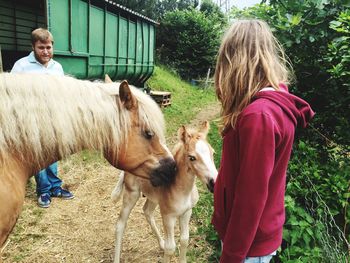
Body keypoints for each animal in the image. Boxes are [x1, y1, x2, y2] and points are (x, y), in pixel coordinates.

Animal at [111, 121, 216, 263]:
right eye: (192, 157)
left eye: (213, 153)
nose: (213, 183)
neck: (183, 190)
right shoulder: (168, 216)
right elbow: (170, 247)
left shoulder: (187, 212)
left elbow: (184, 240)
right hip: (131, 194)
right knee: (120, 224)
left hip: (153, 197)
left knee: (147, 212)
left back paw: (160, 243)